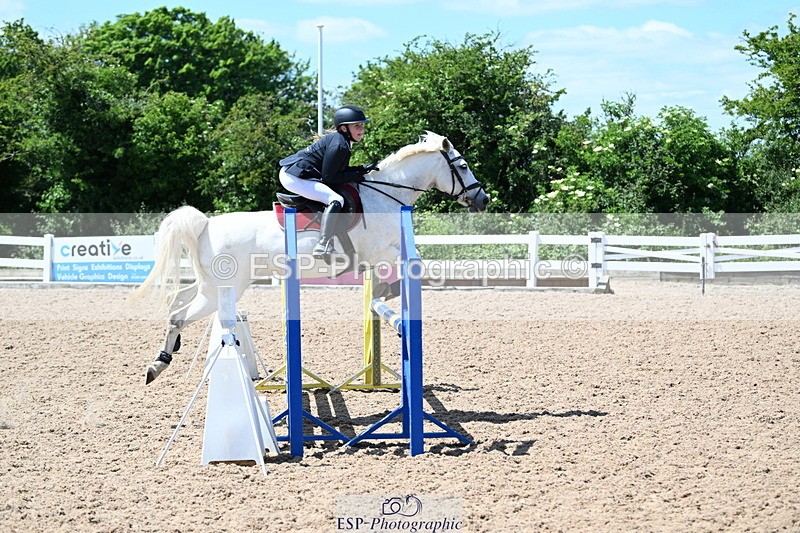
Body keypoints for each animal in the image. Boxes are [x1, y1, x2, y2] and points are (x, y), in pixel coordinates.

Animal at [131, 131, 490, 384]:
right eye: (462, 166)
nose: (483, 200)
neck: (386, 194)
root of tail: (205, 225)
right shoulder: (382, 251)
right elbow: (413, 267)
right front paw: (387, 291)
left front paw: (383, 291)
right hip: (225, 287)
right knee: (181, 315)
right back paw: (157, 365)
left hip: (208, 284)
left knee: (178, 301)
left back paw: (162, 358)